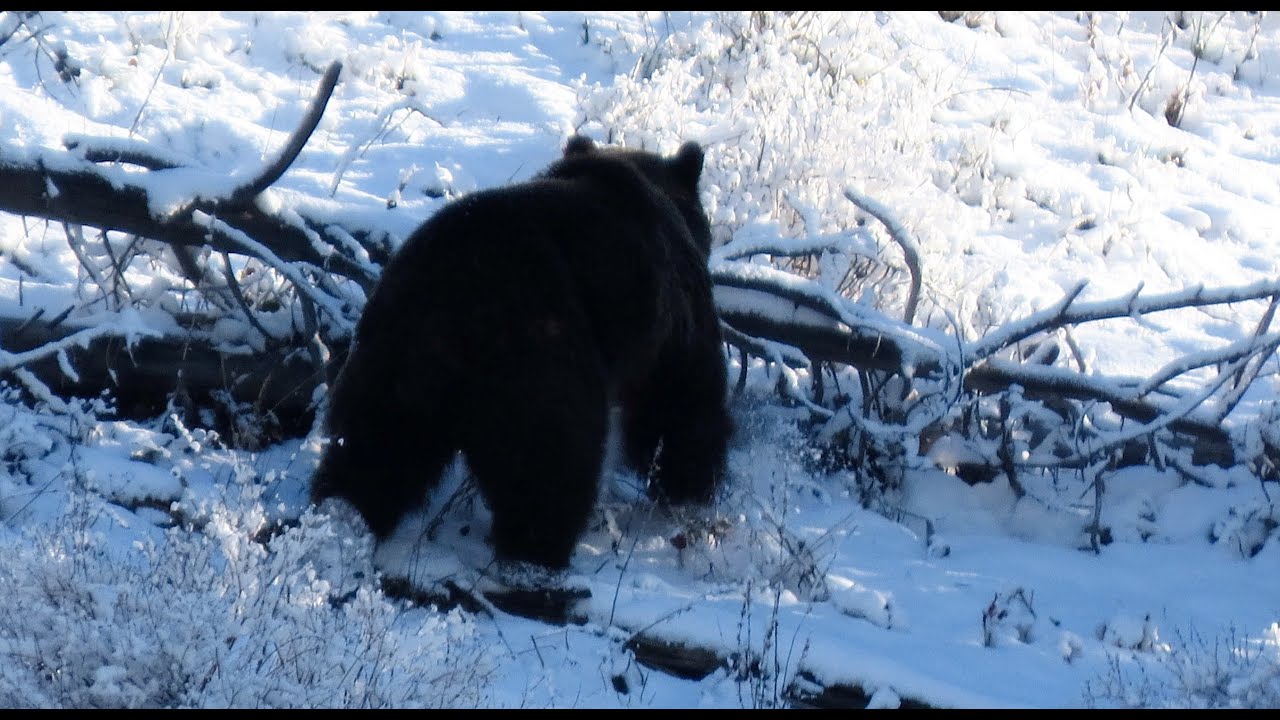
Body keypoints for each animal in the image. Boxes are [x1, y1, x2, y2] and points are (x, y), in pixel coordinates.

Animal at [310, 135, 732, 570]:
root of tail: (449, 298)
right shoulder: (672, 312)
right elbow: (682, 400)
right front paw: (691, 486)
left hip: (387, 357)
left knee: (373, 449)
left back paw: (341, 520)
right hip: (537, 353)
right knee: (551, 461)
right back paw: (538, 551)